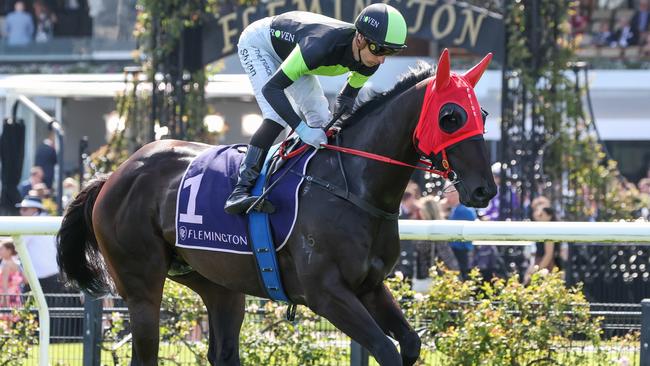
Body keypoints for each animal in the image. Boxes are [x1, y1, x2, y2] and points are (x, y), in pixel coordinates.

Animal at [57, 49, 496, 366]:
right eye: (450, 116)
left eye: (483, 113)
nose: (484, 190)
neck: (352, 185)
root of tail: (114, 174)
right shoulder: (326, 293)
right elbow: (386, 350)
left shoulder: (370, 286)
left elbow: (409, 343)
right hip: (142, 285)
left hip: (217, 282)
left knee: (223, 351)